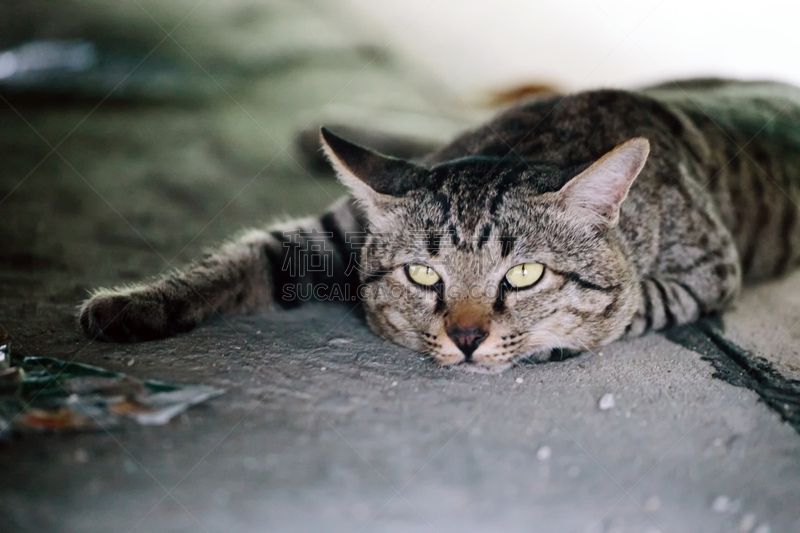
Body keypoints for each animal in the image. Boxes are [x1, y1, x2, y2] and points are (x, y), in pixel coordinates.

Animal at [78, 78, 800, 370]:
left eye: (525, 274)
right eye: (424, 275)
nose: (468, 337)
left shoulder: (709, 271)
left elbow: (628, 305)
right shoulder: (332, 233)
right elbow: (239, 256)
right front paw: (136, 303)